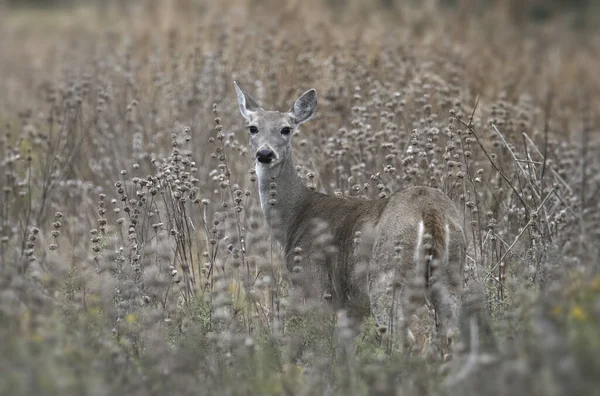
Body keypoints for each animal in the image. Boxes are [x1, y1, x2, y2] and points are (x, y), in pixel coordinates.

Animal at [234, 81, 468, 352]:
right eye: (253, 128)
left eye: (286, 129)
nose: (265, 153)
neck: (296, 216)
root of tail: (430, 212)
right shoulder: (351, 306)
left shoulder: (314, 284)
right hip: (451, 274)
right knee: (452, 334)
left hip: (386, 276)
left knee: (400, 337)